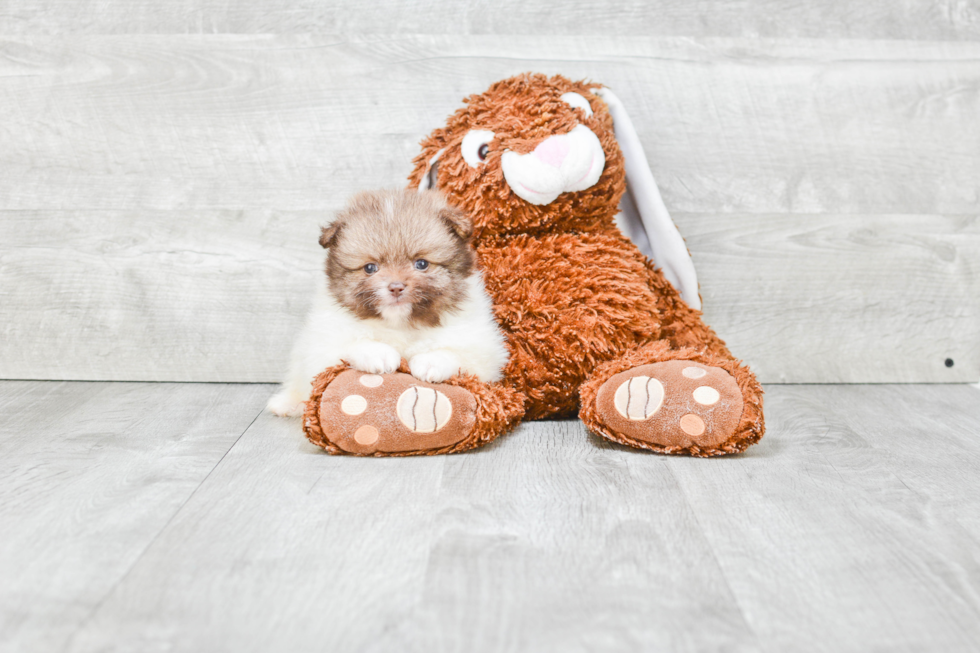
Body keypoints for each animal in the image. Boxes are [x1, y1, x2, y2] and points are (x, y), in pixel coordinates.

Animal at [268, 187, 512, 418]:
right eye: (370, 268)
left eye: (421, 264)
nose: (396, 287)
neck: (400, 324)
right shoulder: (322, 344)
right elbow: (351, 344)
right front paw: (379, 354)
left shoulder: (485, 350)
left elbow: (456, 353)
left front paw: (431, 362)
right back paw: (287, 403)